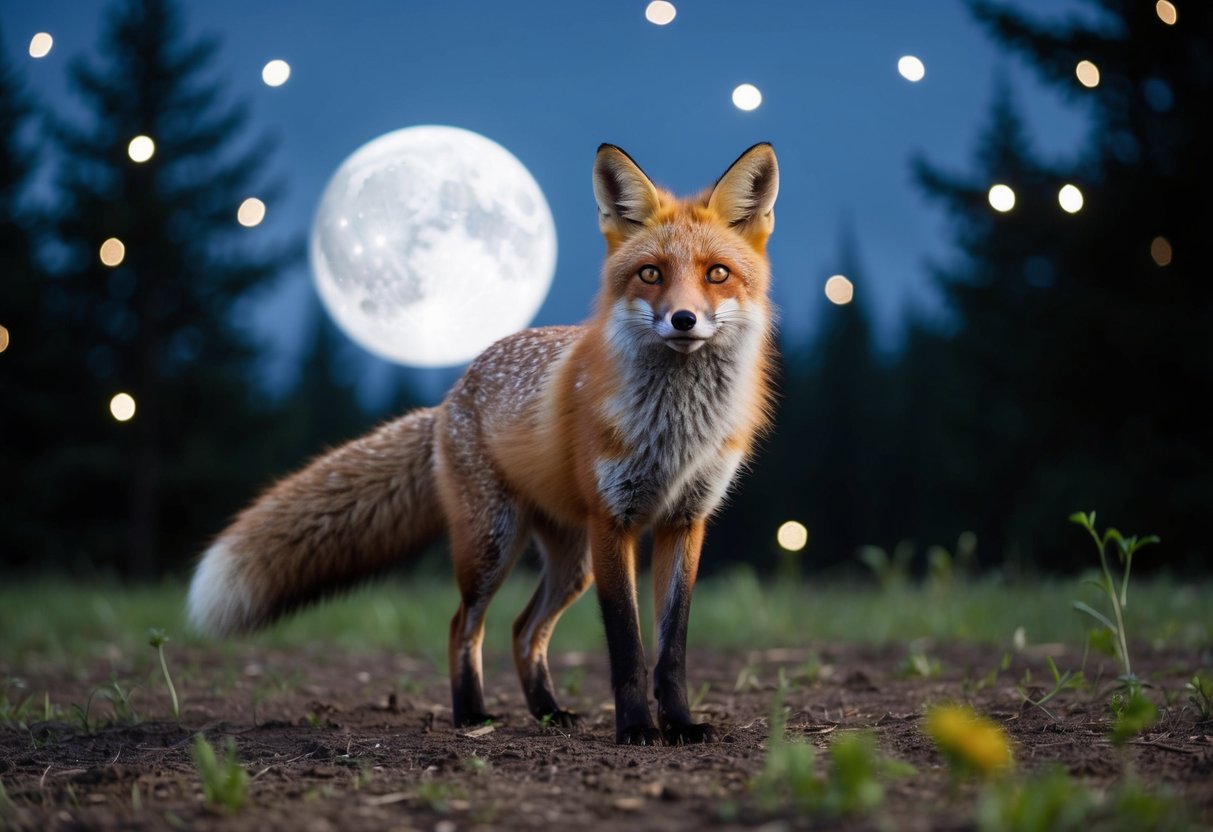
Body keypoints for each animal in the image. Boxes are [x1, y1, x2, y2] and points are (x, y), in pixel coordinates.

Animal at [188, 142, 779, 745]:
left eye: (717, 273)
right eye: (651, 273)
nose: (684, 320)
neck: (675, 432)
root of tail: (450, 396)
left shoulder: (685, 521)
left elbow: (672, 648)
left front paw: (679, 724)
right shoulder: (614, 521)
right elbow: (627, 648)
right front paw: (637, 728)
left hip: (573, 561)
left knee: (522, 630)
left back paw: (549, 712)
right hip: (493, 544)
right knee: (463, 626)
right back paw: (472, 714)